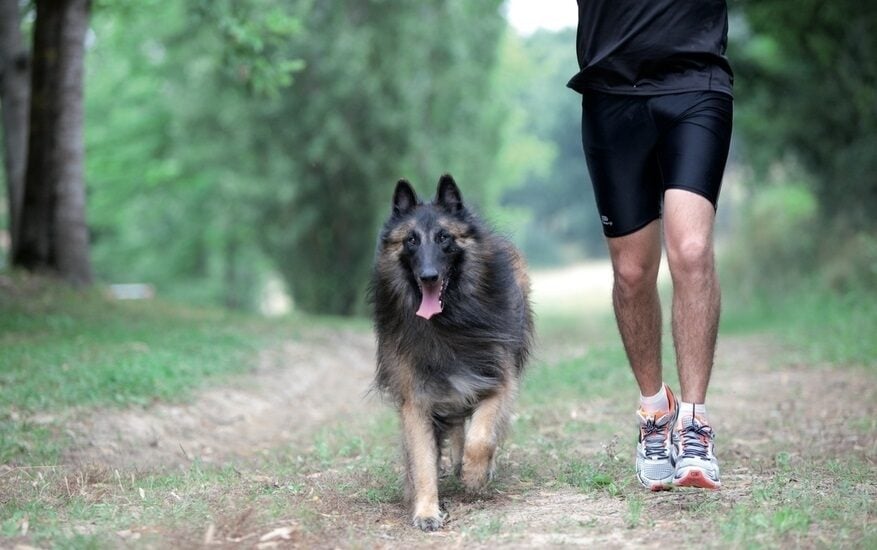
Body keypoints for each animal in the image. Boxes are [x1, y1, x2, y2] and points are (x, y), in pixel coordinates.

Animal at [366, 175, 532, 532]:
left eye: (444, 237)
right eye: (411, 240)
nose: (428, 276)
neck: (448, 323)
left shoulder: (495, 380)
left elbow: (481, 437)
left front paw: (475, 475)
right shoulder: (416, 399)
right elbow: (423, 460)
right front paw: (427, 510)